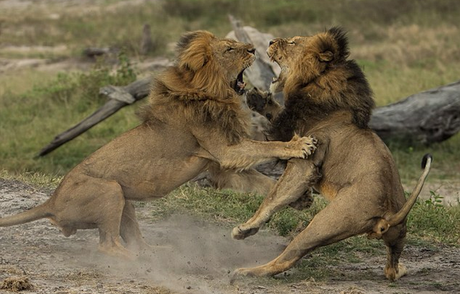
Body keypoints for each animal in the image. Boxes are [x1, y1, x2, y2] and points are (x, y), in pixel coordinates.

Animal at [0, 30, 316, 260]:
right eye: (229, 49)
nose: (252, 50)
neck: (211, 93)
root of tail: (51, 201)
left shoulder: (219, 167)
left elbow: (263, 183)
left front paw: (301, 199)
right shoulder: (227, 150)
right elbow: (267, 148)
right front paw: (300, 144)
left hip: (123, 198)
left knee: (127, 240)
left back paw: (155, 252)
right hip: (109, 189)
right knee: (108, 246)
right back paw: (141, 261)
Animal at [232, 28, 434, 282]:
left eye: (292, 42)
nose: (269, 41)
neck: (315, 83)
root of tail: (389, 216)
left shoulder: (307, 161)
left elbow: (273, 197)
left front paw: (246, 228)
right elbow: (277, 114)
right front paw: (257, 98)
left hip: (324, 223)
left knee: (288, 257)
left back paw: (246, 271)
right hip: (397, 237)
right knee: (392, 269)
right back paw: (401, 269)